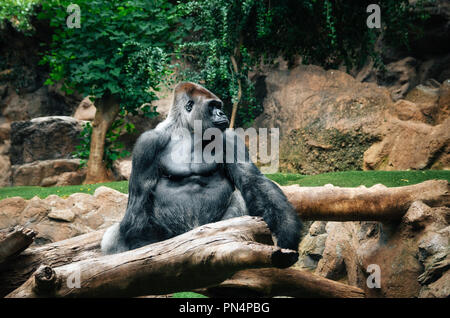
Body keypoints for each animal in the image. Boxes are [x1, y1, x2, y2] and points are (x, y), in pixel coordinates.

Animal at [99, 82, 302, 264]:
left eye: (219, 106)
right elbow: (139, 200)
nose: (222, 113)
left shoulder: (229, 137)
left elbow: (252, 179)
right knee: (114, 234)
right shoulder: (147, 144)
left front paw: (287, 231)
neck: (186, 131)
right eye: (212, 106)